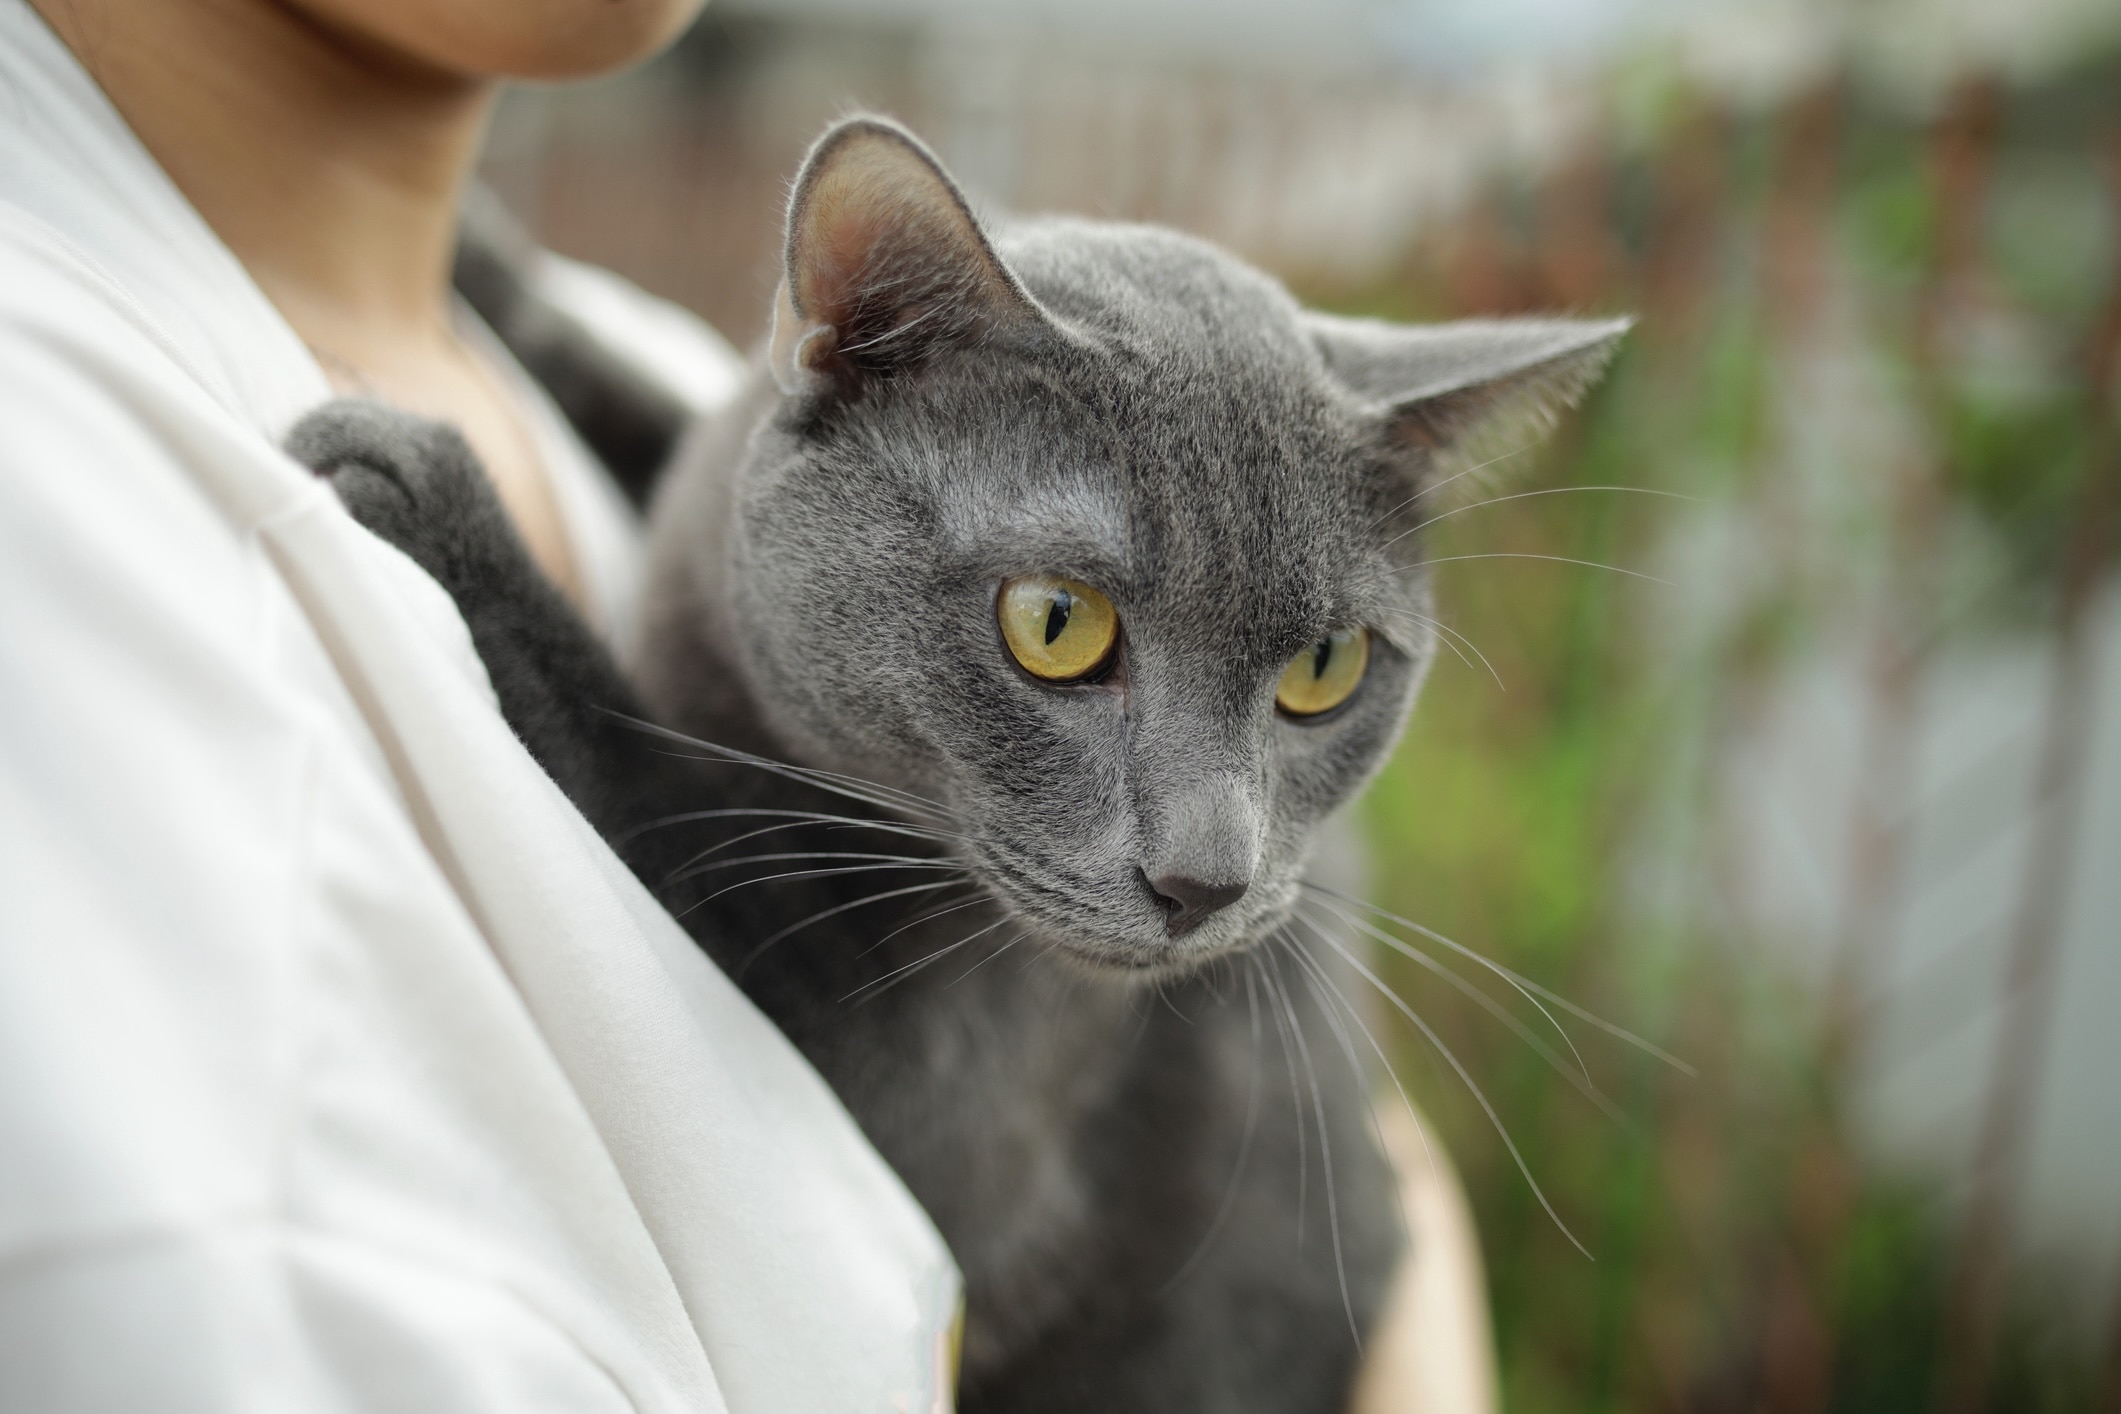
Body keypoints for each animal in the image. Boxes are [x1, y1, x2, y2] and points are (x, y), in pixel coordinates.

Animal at [290, 116, 1620, 1407]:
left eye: (1327, 665)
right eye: (1057, 623)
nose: (1207, 881)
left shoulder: (955, 1115)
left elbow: (669, 809)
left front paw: (421, 485)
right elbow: (655, 403)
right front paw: (486, 261)